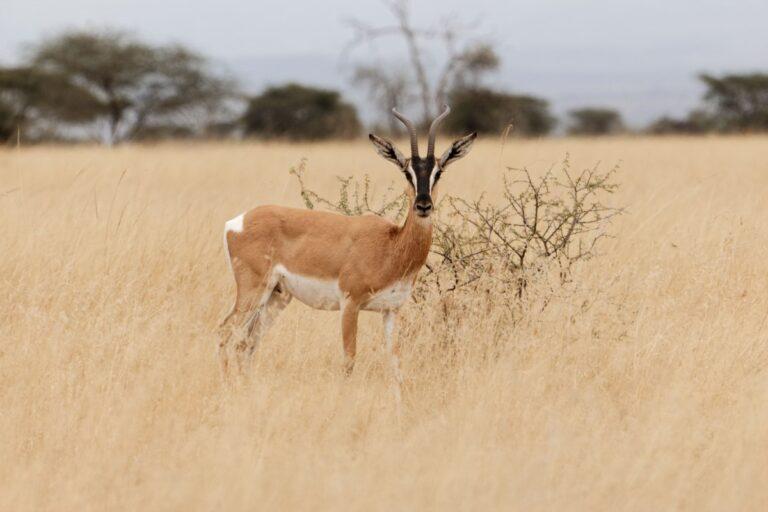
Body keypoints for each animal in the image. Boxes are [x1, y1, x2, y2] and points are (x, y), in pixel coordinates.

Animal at [218, 105, 476, 392]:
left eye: (438, 172)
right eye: (406, 172)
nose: (423, 205)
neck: (391, 246)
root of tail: (237, 221)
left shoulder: (391, 311)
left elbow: (395, 364)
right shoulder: (350, 304)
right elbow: (349, 360)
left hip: (276, 297)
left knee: (247, 343)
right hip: (253, 292)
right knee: (226, 332)